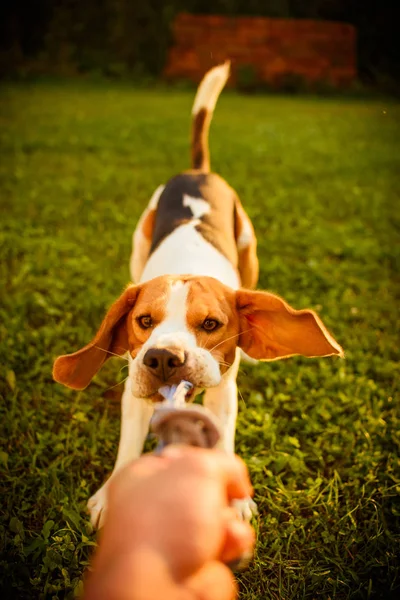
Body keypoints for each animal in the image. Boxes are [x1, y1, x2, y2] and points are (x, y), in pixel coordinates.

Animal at [51, 63, 342, 528]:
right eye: (143, 322)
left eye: (210, 324)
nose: (162, 358)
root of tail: (198, 172)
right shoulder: (135, 389)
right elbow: (128, 445)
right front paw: (112, 497)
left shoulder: (224, 390)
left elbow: (223, 437)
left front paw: (235, 502)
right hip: (138, 242)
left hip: (249, 247)